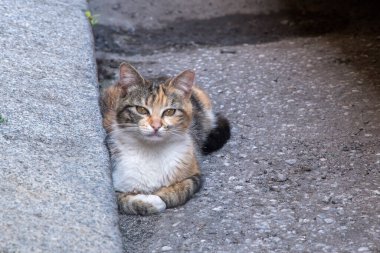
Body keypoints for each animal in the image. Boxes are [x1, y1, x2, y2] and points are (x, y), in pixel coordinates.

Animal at [101, 62, 230, 214]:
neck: (152, 150)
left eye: (170, 111)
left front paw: (159, 197)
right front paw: (148, 201)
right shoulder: (114, 184)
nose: (156, 126)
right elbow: (122, 201)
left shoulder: (195, 174)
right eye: (141, 110)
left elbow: (181, 190)